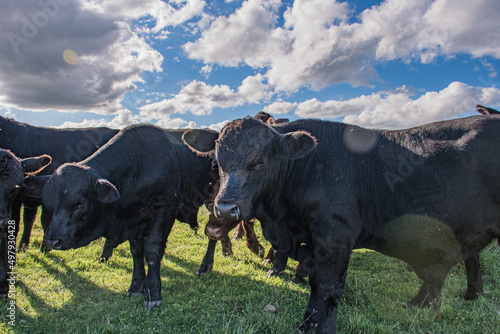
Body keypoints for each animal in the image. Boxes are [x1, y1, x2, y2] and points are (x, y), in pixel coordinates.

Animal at [26, 124, 216, 310]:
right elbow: (137, 252)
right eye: (47, 202)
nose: (52, 241)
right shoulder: (135, 221)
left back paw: (205, 266)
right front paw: (136, 286)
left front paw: (153, 293)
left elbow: (152, 248)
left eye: (79, 204)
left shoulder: (165, 207)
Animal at [184, 116, 500, 332]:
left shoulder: (335, 235)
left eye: (260, 162)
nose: (225, 207)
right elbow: (313, 280)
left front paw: (319, 327)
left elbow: (327, 286)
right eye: (217, 161)